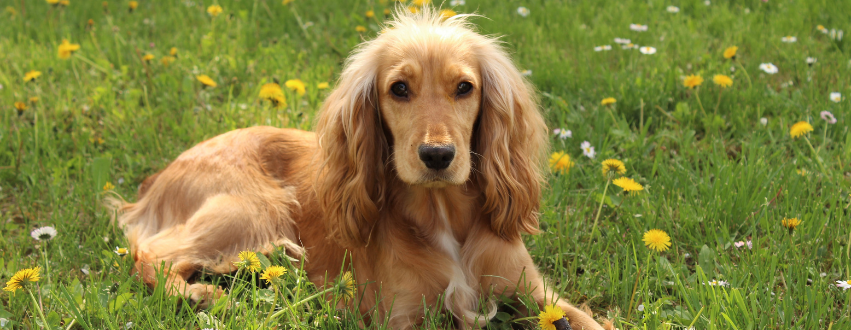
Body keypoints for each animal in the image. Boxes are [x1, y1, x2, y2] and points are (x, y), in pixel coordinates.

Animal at [111, 7, 604, 330]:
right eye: (399, 88)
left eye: (465, 87)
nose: (437, 156)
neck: (444, 215)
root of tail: (158, 180)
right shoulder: (401, 315)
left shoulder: (537, 294)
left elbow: (589, 320)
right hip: (251, 210)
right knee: (150, 255)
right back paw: (199, 294)